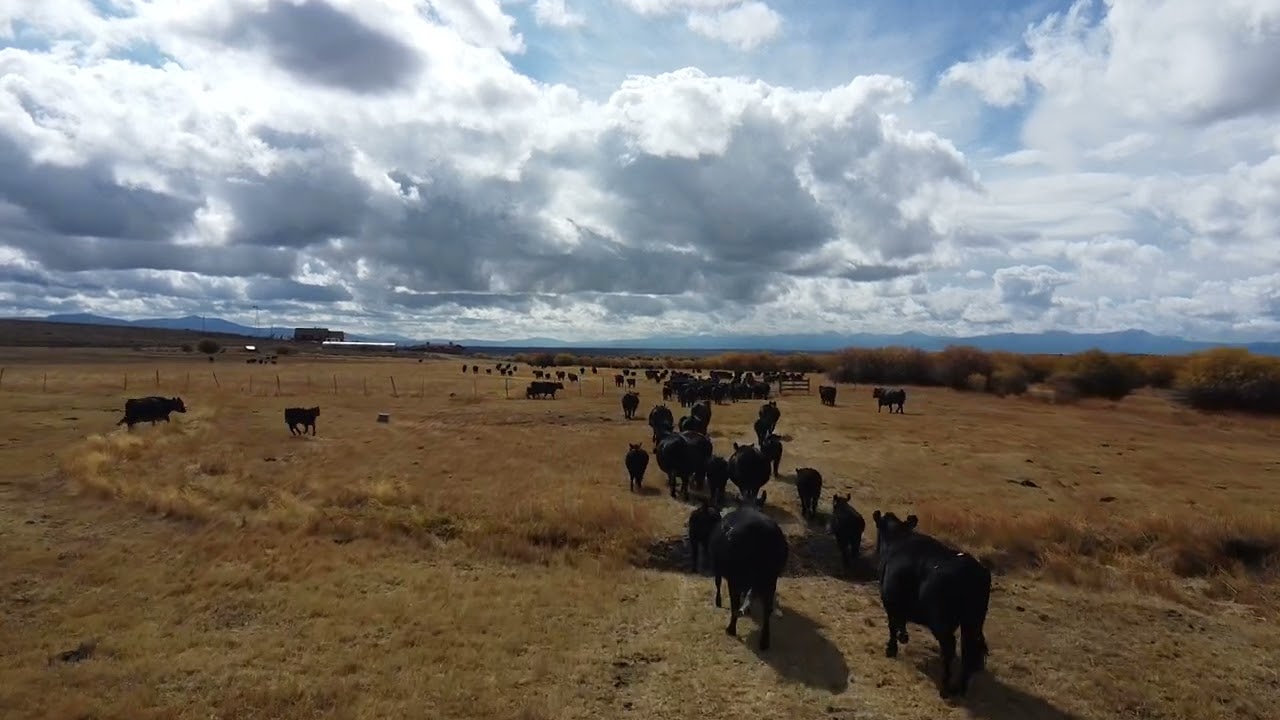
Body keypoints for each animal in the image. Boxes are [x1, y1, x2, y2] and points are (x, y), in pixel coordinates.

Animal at [709, 500, 788, 651]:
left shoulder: (719, 568)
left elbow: (718, 583)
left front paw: (718, 601)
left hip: (736, 579)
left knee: (735, 605)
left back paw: (731, 629)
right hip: (770, 581)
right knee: (767, 609)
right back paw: (764, 641)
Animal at [872, 511, 992, 698]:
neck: (897, 540)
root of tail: (972, 570)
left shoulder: (889, 601)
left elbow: (892, 625)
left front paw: (891, 649)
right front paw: (903, 636)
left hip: (942, 624)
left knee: (950, 651)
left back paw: (945, 687)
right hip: (973, 623)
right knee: (970, 651)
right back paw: (961, 688)